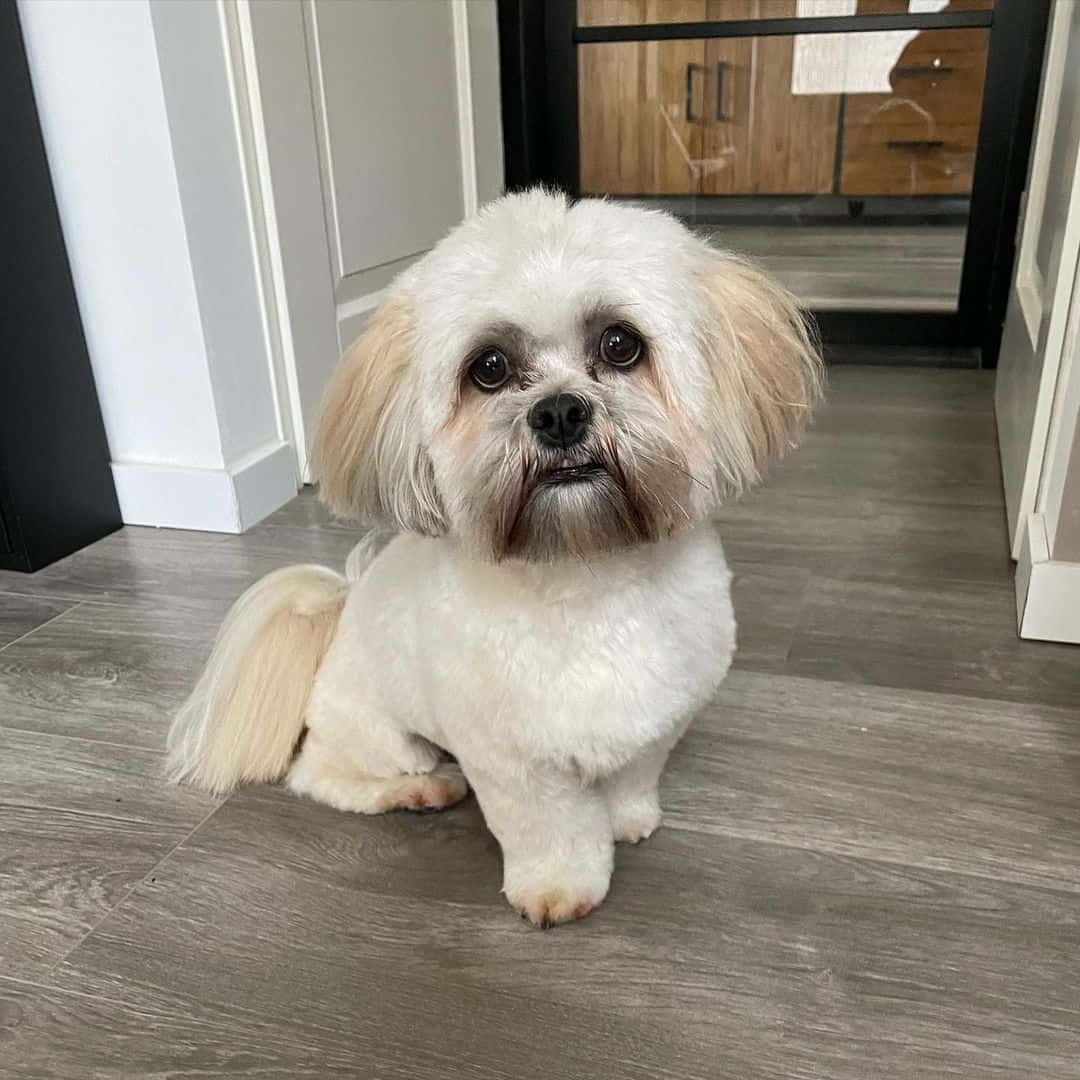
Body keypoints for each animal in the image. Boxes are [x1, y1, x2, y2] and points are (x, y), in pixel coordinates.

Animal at [168, 187, 816, 928]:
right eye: (489, 369)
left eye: (620, 344)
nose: (559, 412)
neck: (587, 574)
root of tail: (339, 610)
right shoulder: (514, 760)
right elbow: (549, 827)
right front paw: (558, 889)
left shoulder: (658, 719)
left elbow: (632, 775)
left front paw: (628, 818)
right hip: (381, 731)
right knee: (323, 773)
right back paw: (418, 791)